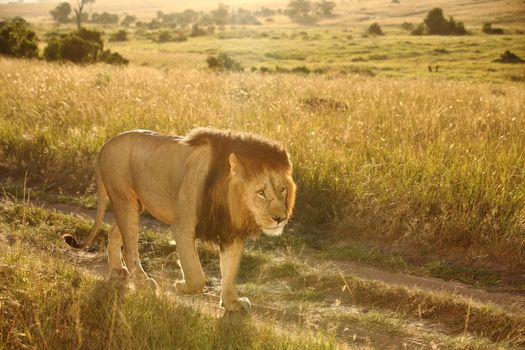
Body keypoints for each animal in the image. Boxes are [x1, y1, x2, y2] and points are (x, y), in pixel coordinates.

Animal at [63, 128, 294, 312]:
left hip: (134, 205)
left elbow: (229, 272)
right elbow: (196, 274)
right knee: (129, 248)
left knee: (114, 234)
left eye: (283, 189)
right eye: (261, 192)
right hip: (123, 199)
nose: (280, 218)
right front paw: (180, 285)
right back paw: (144, 282)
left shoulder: (231, 234)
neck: (228, 201)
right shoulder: (183, 226)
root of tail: (107, 143)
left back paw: (118, 271)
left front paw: (231, 303)